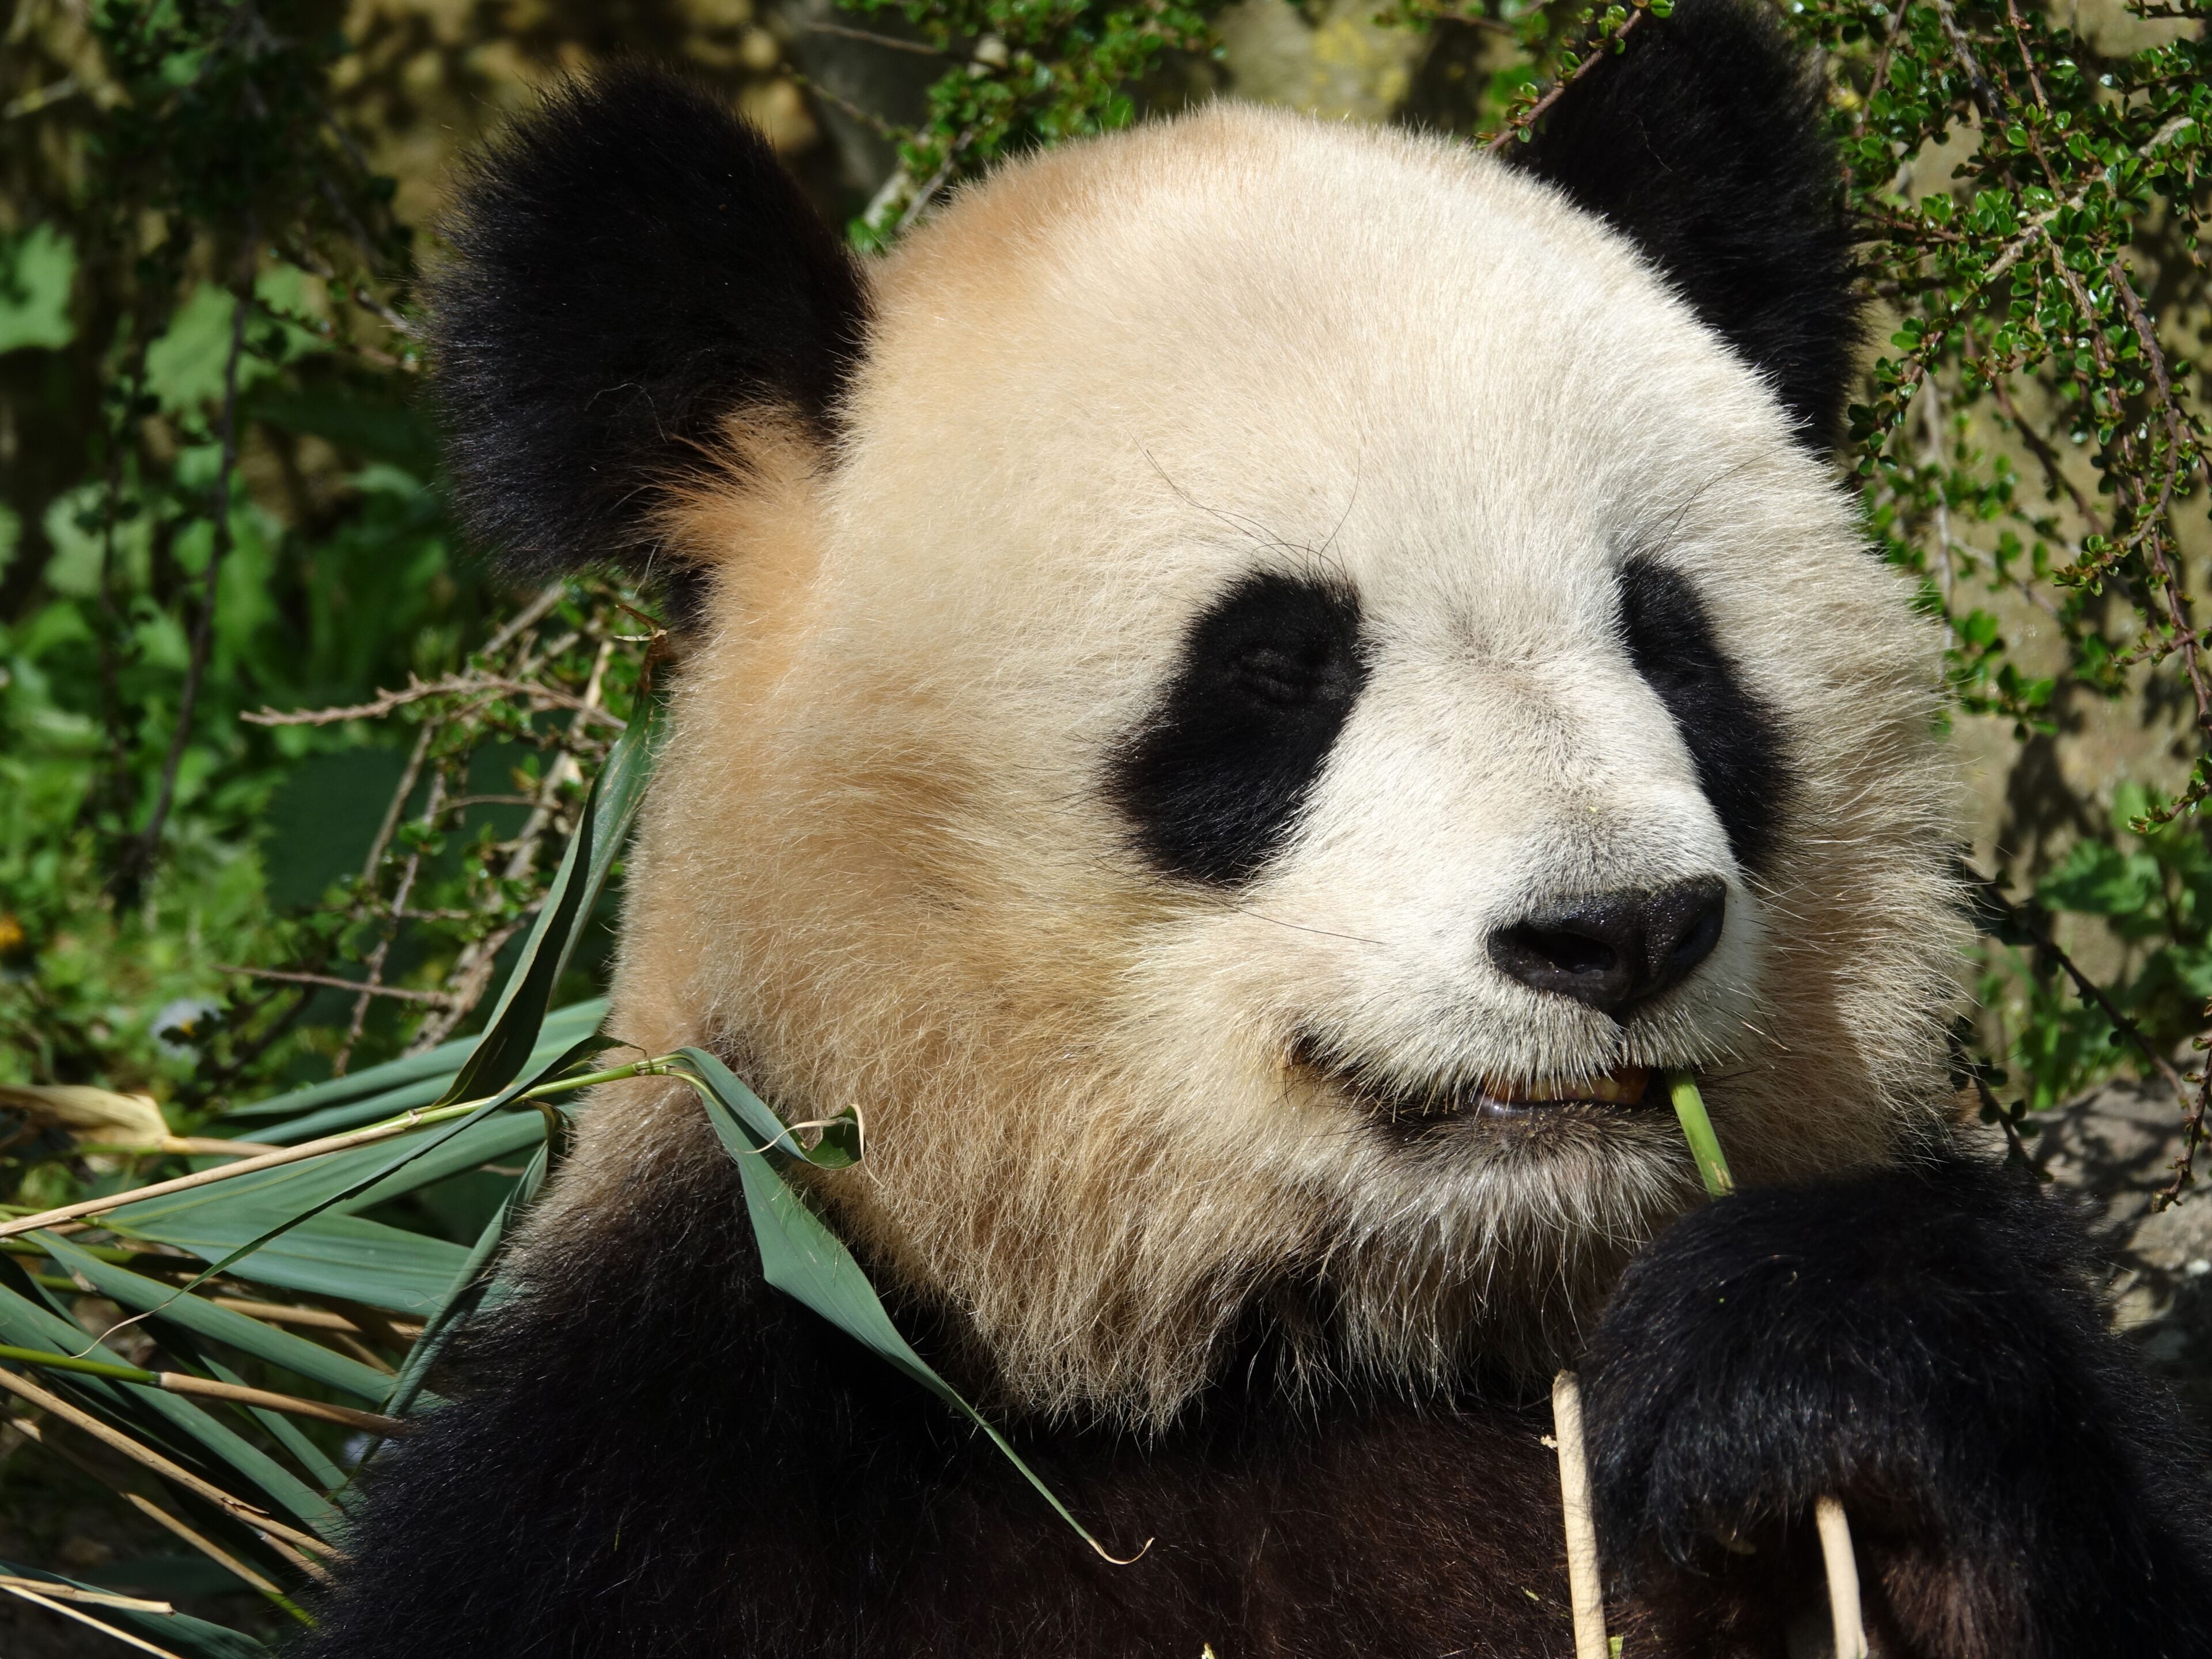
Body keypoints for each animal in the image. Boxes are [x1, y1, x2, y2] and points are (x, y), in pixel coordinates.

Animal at [303, 5, 2212, 1655]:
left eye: (1669, 640)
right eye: (1278, 669)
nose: (1613, 933)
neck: (1309, 1363)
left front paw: (1813, 1373)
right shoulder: (672, 1475)